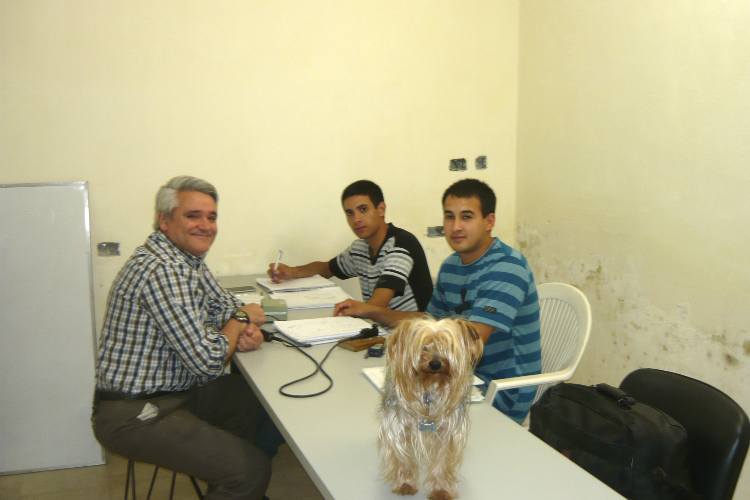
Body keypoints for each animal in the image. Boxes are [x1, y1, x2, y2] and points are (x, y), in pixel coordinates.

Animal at [378, 317, 483, 500]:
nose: (435, 363)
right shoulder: (397, 426)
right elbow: (403, 457)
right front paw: (405, 483)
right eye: (423, 347)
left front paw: (441, 490)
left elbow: (442, 460)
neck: (430, 385)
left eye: (448, 347)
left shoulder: (448, 431)